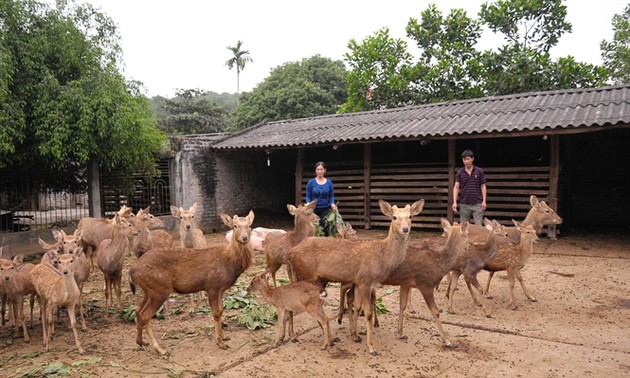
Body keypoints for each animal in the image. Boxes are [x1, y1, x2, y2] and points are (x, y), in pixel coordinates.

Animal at [130, 210, 258, 354]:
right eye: (235, 226)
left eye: (249, 225)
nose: (244, 237)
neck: (229, 261)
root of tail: (132, 271)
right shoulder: (212, 286)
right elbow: (216, 313)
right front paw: (220, 342)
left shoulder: (220, 289)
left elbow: (221, 311)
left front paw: (224, 336)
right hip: (160, 289)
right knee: (146, 315)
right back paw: (159, 349)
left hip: (149, 290)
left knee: (138, 311)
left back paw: (141, 342)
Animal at [288, 199, 428, 356]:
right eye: (394, 217)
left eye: (410, 216)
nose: (405, 229)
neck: (382, 258)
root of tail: (291, 253)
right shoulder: (364, 281)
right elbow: (367, 312)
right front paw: (371, 347)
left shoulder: (362, 282)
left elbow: (357, 306)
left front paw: (355, 335)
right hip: (305, 275)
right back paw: (306, 338)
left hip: (318, 279)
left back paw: (323, 338)